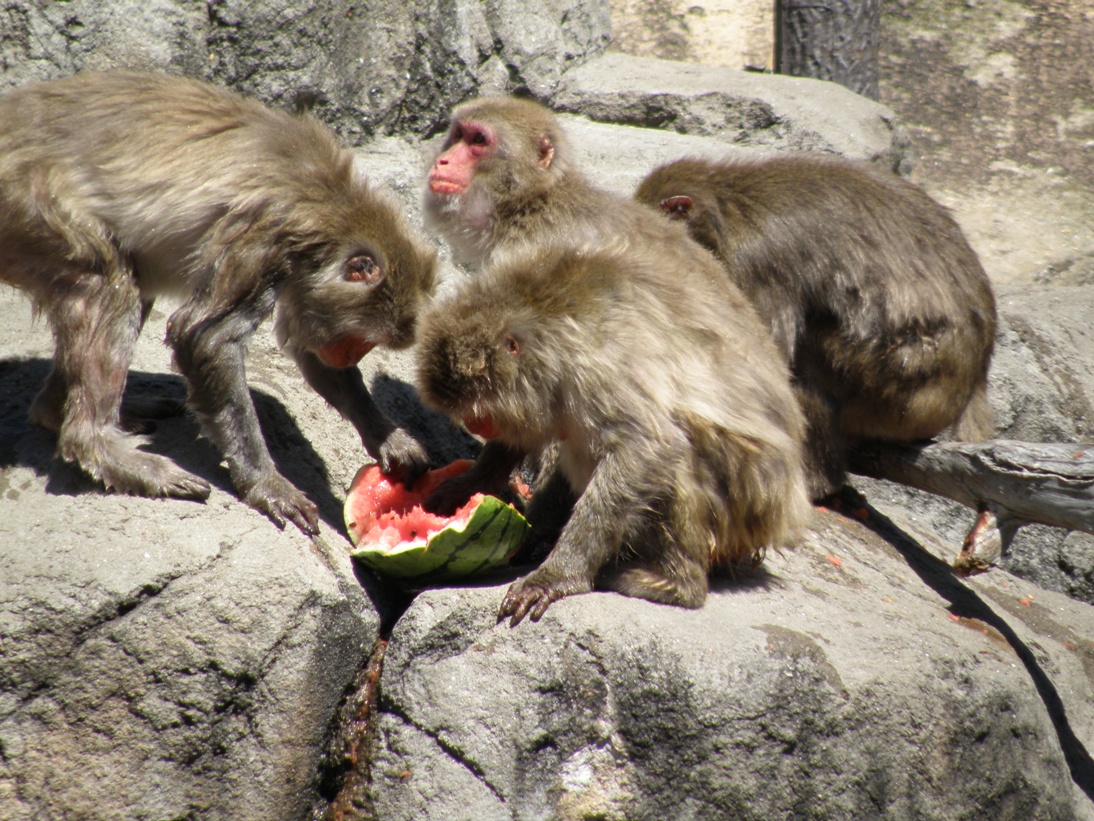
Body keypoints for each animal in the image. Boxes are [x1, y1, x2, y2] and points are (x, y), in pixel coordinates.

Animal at [0, 71, 437, 534]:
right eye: (359, 341)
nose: (348, 356)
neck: (331, 209)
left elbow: (308, 353)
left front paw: (388, 437)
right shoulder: (264, 233)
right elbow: (205, 337)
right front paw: (266, 483)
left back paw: (59, 411)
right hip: (31, 204)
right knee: (107, 281)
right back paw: (100, 445)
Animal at [416, 241, 811, 625]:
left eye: (476, 411)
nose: (474, 426)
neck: (546, 319)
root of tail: (786, 512)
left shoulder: (595, 368)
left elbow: (648, 447)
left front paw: (558, 574)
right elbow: (524, 435)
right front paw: (469, 484)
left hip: (746, 505)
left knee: (672, 454)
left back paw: (675, 583)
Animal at [633, 154, 997, 500]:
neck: (724, 209)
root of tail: (974, 382)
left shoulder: (755, 262)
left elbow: (771, 357)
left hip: (903, 391)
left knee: (809, 358)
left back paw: (821, 486)